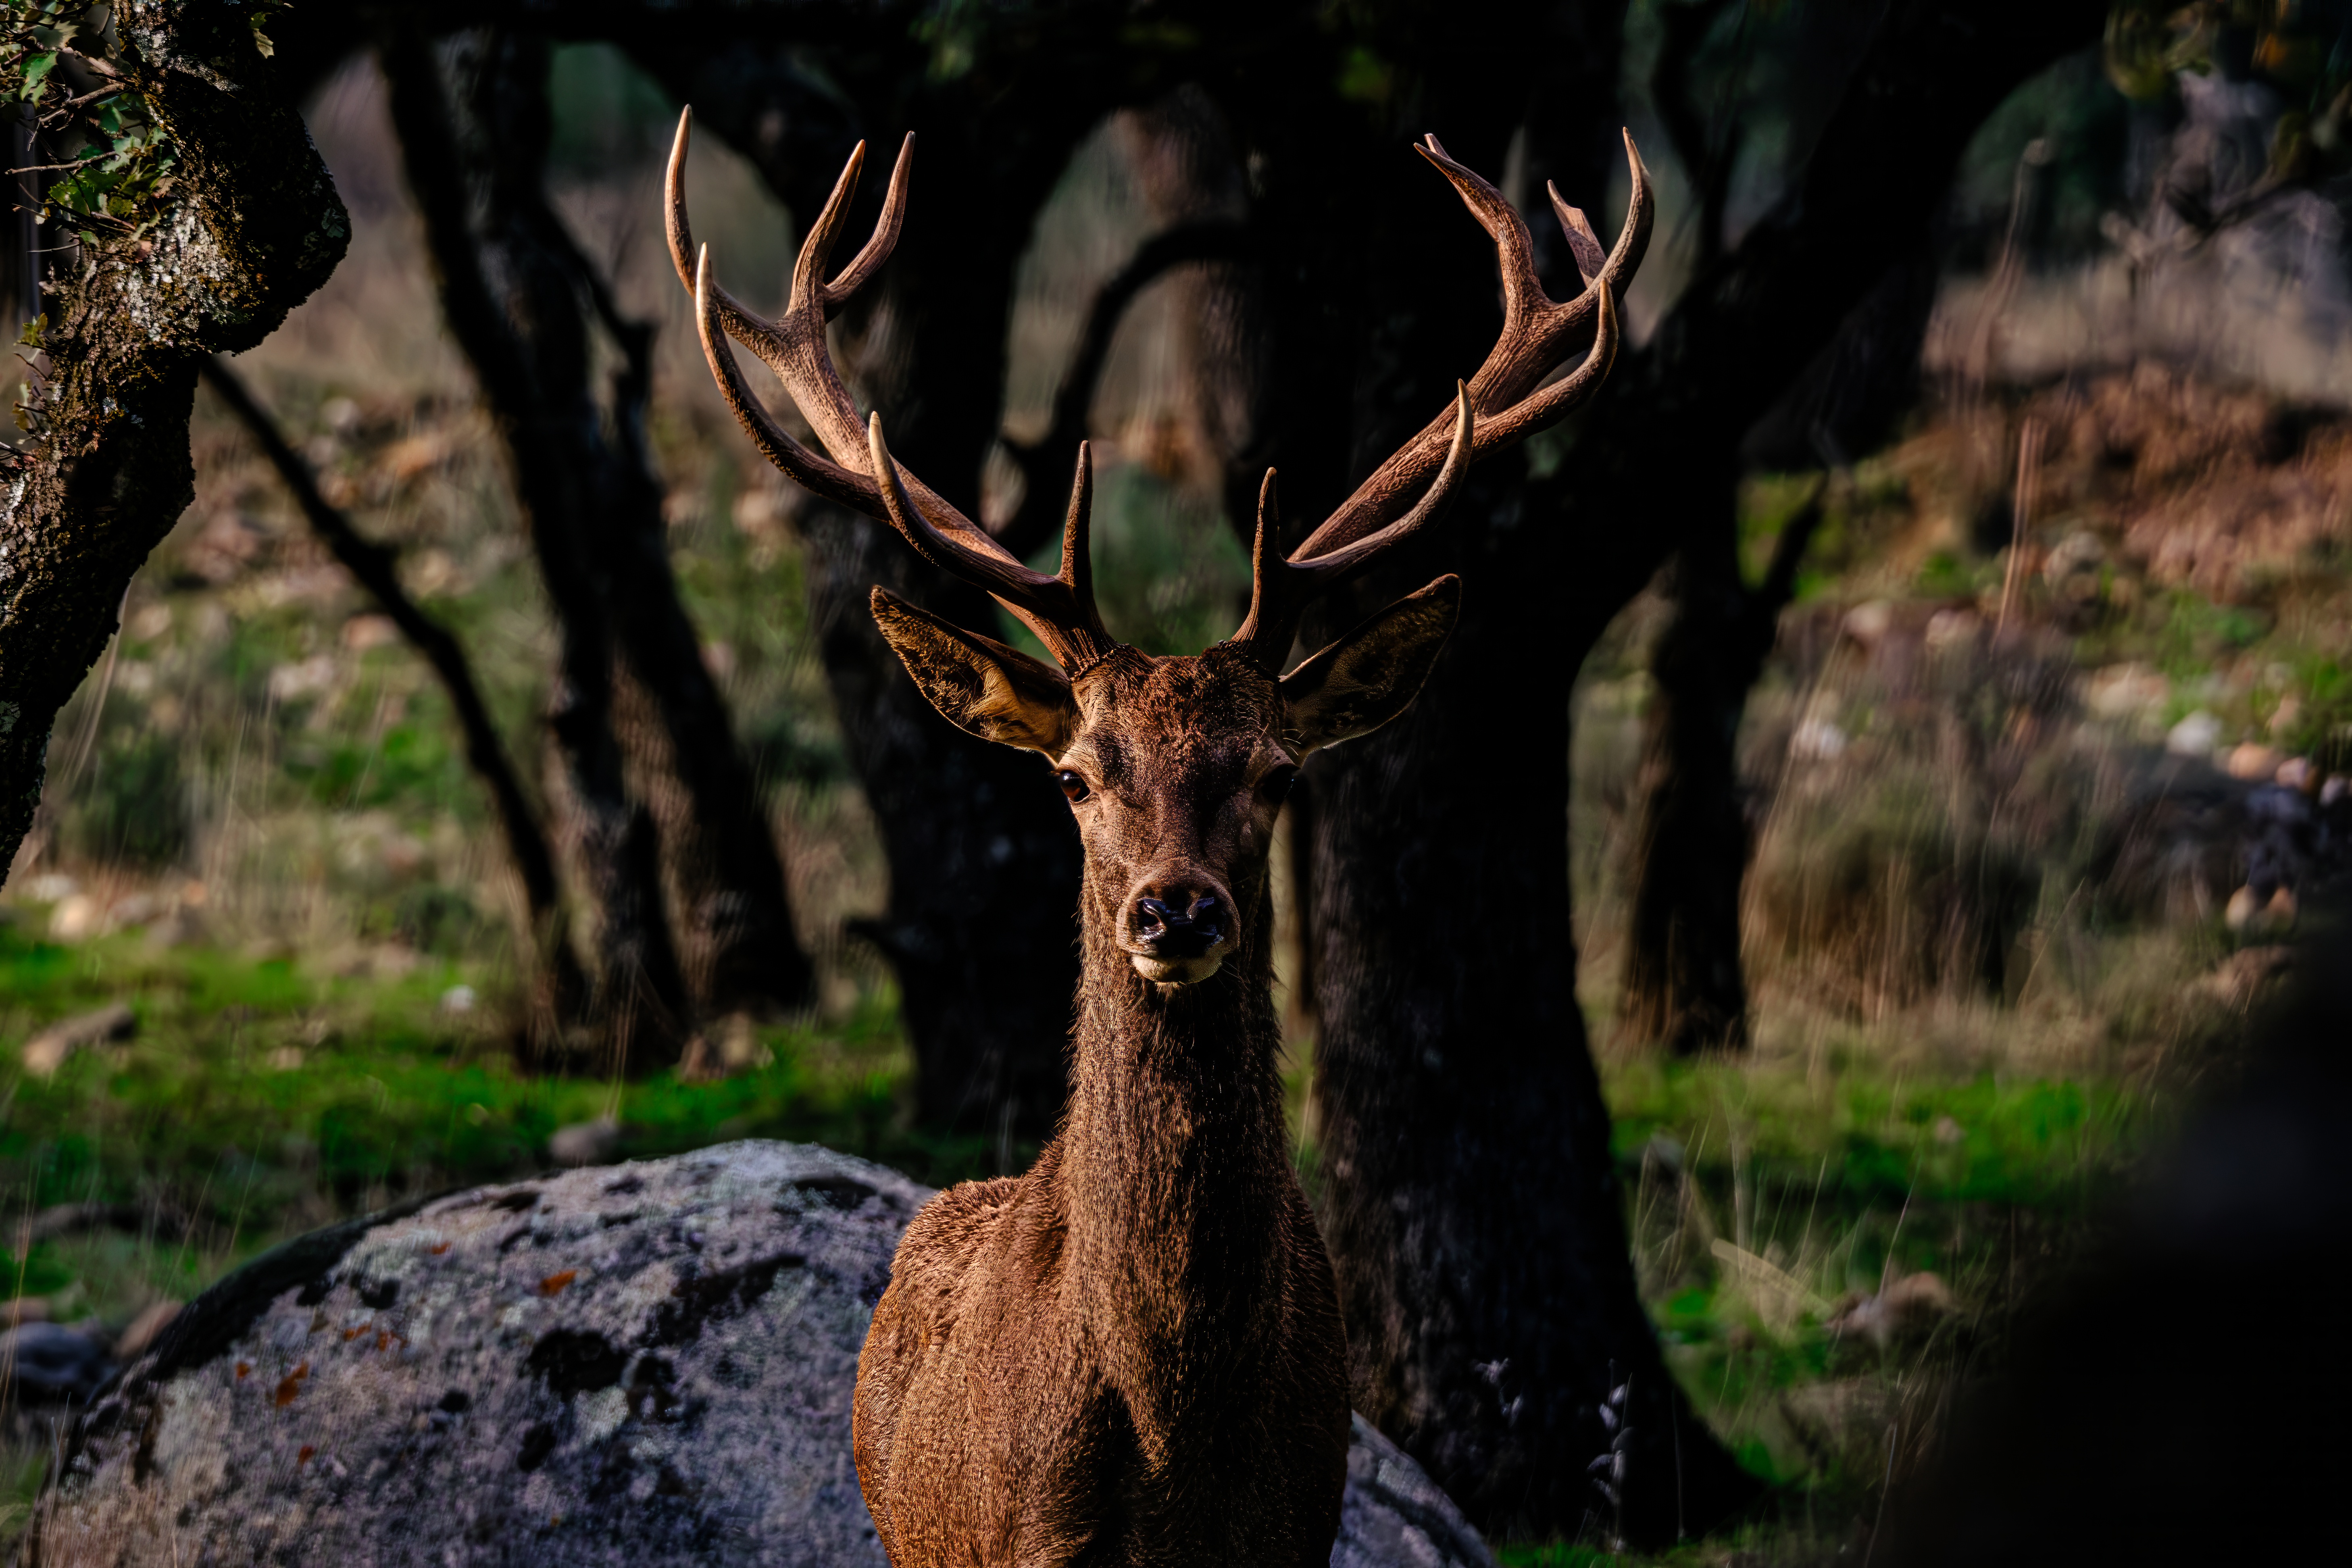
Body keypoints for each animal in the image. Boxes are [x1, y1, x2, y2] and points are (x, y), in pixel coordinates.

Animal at [666, 107, 1649, 1567]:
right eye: (1077, 776)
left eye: (1279, 773)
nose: (1173, 909)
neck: (1175, 1449)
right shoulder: (1023, 1541)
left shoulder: (1300, 1527)